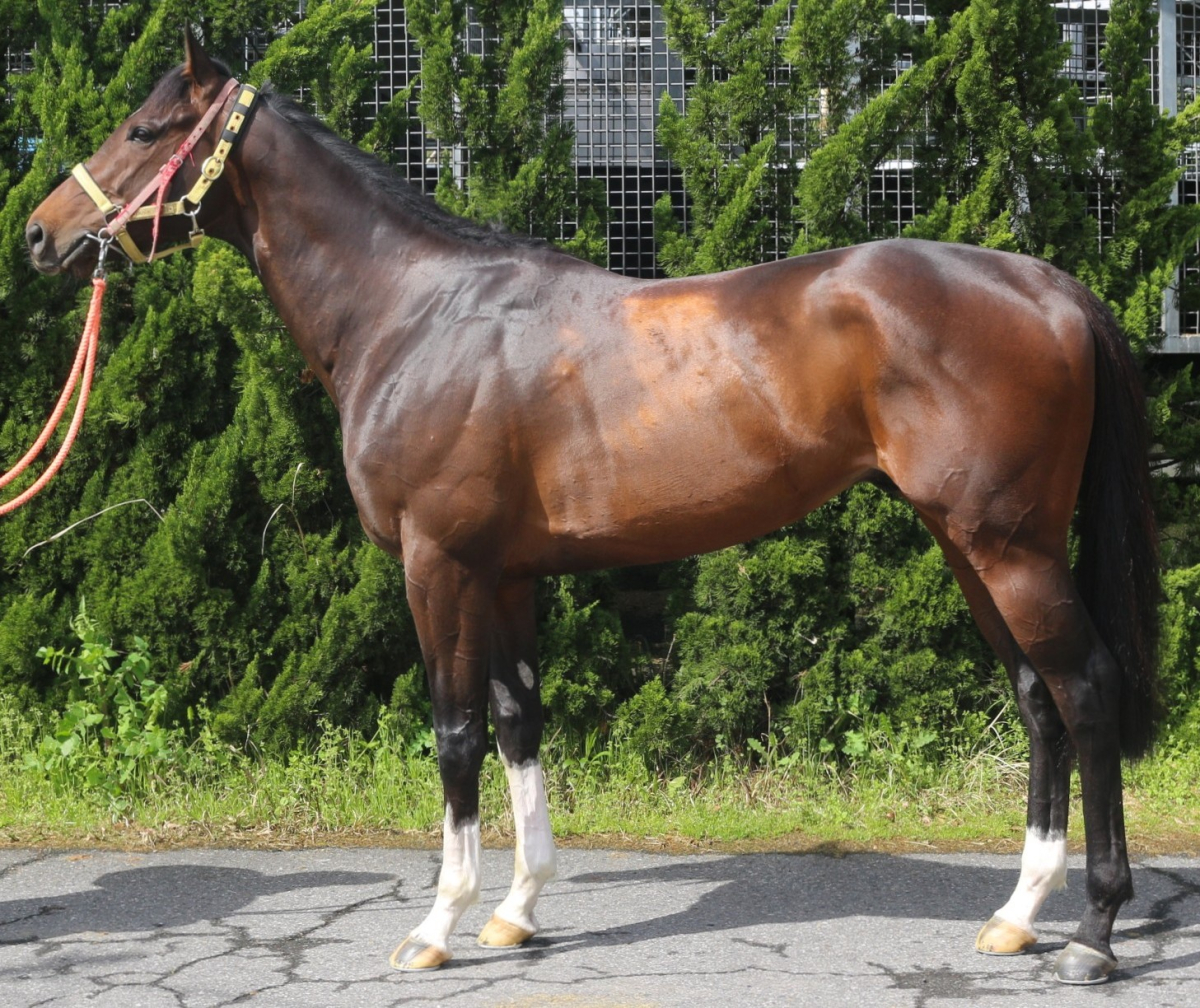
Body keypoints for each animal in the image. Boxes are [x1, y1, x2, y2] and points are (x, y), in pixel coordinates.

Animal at [24, 35, 1159, 986]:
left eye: (144, 129)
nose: (40, 234)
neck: (417, 312)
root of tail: (1049, 284)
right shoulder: (505, 575)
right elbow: (520, 724)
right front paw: (517, 912)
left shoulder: (437, 565)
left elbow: (455, 734)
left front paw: (437, 927)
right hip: (971, 545)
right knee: (1038, 700)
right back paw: (1017, 917)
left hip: (1009, 549)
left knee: (1087, 690)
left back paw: (1094, 935)